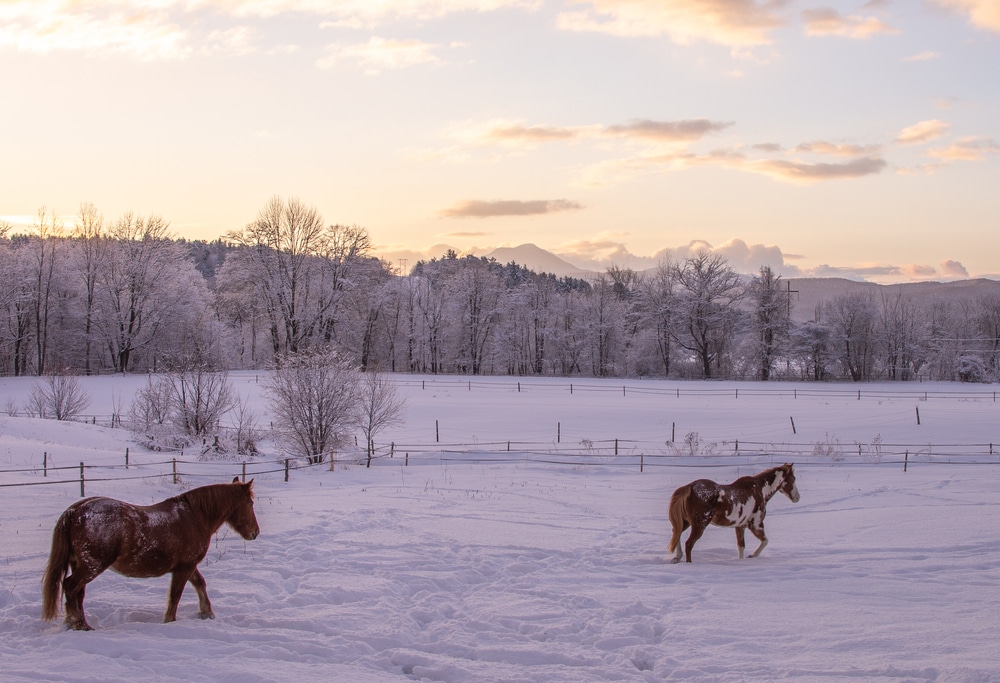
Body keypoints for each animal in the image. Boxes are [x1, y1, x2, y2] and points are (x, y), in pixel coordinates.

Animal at [41, 476, 260, 632]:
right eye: (250, 504)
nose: (255, 533)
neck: (195, 517)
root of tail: (75, 511)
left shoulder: (188, 566)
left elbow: (200, 584)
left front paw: (207, 613)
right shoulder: (184, 567)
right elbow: (175, 595)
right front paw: (170, 621)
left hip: (80, 565)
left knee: (78, 593)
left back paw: (76, 624)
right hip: (92, 566)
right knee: (70, 586)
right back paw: (79, 624)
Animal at [668, 464, 800, 568]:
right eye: (793, 478)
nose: (797, 498)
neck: (760, 489)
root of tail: (689, 487)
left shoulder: (740, 526)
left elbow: (741, 547)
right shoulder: (756, 525)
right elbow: (765, 541)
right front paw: (752, 556)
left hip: (686, 522)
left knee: (676, 533)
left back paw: (677, 557)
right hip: (699, 525)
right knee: (688, 544)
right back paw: (688, 563)